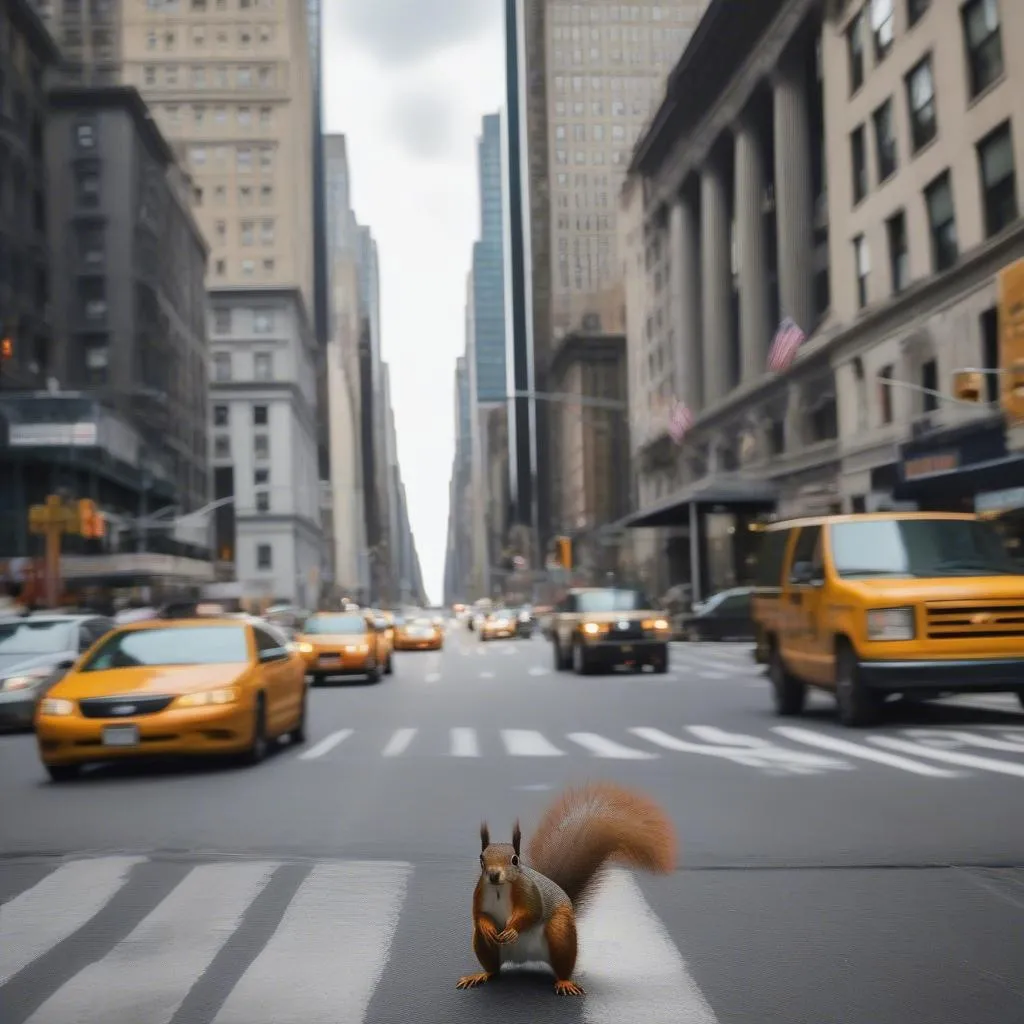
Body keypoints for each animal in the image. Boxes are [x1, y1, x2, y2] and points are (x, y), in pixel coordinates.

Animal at [454, 778, 675, 995]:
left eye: (515, 860)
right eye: (481, 858)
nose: (493, 875)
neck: (499, 889)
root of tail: (523, 958)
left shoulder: (529, 892)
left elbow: (532, 912)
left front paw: (512, 930)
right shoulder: (480, 893)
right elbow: (478, 915)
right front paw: (488, 927)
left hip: (560, 934)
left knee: (562, 966)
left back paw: (565, 982)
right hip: (484, 946)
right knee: (494, 969)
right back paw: (481, 975)